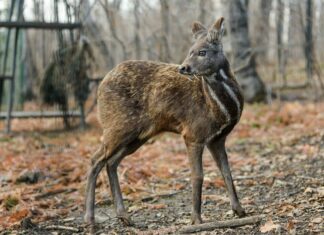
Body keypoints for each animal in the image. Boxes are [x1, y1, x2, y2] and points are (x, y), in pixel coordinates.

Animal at [84, 16, 246, 226]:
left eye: (202, 51)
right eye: (190, 50)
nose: (184, 67)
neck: (220, 109)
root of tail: (101, 85)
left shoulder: (217, 138)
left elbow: (227, 172)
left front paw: (239, 210)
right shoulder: (193, 133)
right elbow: (198, 175)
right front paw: (196, 219)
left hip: (138, 135)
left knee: (111, 162)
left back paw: (124, 216)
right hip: (117, 126)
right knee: (95, 159)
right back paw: (90, 219)